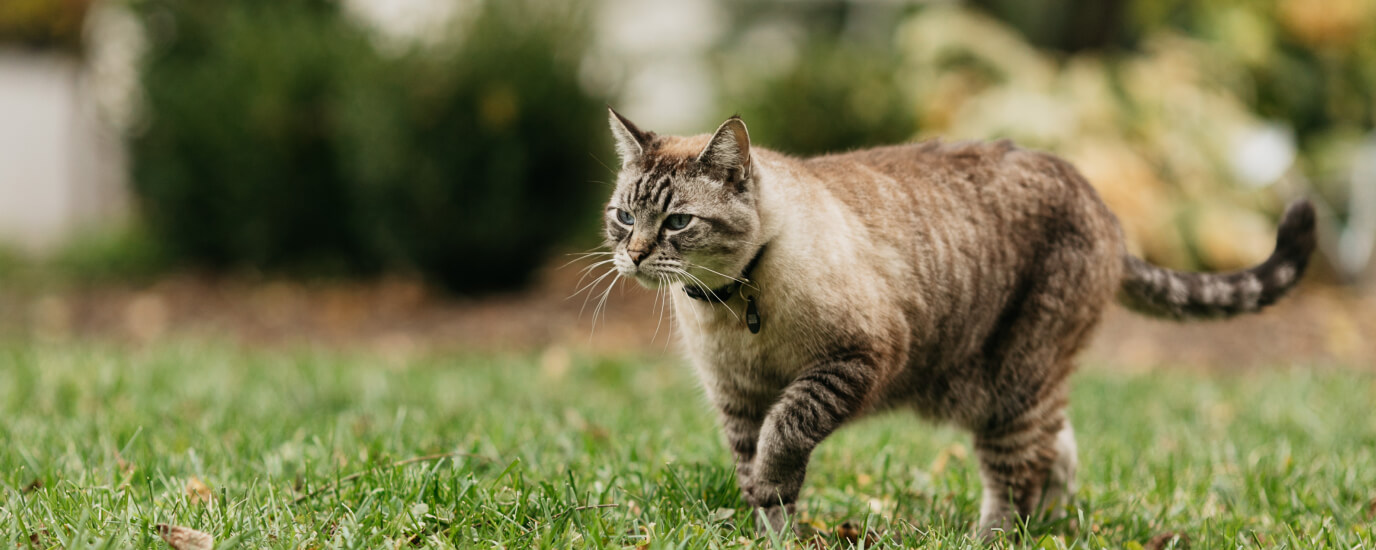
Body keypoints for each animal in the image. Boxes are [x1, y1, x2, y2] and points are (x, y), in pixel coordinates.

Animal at [597, 108, 1315, 541]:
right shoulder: (738, 399)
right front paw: (773, 536)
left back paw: (993, 538)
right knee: (1059, 454)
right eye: (624, 216)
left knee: (1019, 479)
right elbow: (762, 484)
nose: (633, 255)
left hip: (1009, 389)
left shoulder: (857, 359)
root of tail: (1104, 208)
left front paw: (776, 487)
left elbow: (789, 430)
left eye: (678, 222)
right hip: (995, 392)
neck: (731, 304)